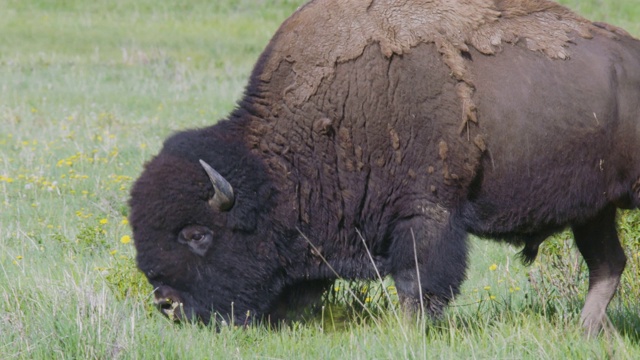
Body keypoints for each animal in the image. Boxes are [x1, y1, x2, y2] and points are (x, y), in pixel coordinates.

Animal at [130, 0, 640, 338]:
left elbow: (417, 283)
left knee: (606, 264)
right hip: (594, 211)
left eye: (196, 234)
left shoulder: (426, 214)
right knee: (608, 264)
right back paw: (586, 332)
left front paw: (409, 333)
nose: (166, 303)